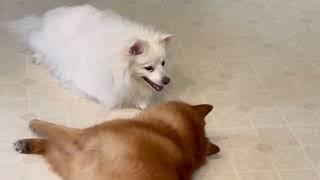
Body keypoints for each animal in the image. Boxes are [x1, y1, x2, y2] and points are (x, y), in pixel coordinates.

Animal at [11, 4, 172, 108]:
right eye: (148, 68)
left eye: (163, 63)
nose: (167, 80)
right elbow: (110, 100)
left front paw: (141, 102)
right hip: (48, 44)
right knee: (36, 42)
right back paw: (38, 57)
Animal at [13, 101, 220, 180]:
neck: (173, 136)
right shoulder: (72, 167)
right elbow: (50, 146)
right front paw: (27, 144)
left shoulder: (80, 140)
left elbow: (53, 130)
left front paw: (34, 123)